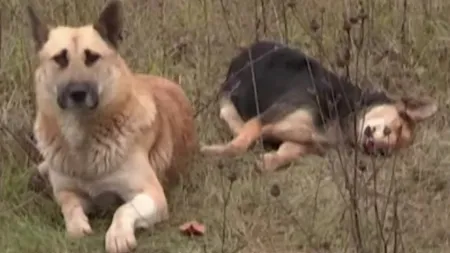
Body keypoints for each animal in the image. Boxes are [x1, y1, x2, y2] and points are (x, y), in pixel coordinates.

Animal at [27, 0, 196, 252]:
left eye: (92, 57)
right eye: (60, 59)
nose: (78, 93)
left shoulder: (152, 195)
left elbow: (122, 209)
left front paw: (118, 235)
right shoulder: (67, 192)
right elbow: (69, 207)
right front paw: (77, 226)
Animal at [201, 40, 440, 171]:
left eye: (387, 153)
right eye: (398, 126)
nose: (380, 148)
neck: (345, 111)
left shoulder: (303, 143)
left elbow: (287, 153)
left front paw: (270, 160)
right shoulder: (268, 117)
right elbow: (238, 145)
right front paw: (212, 151)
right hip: (229, 95)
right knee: (232, 117)